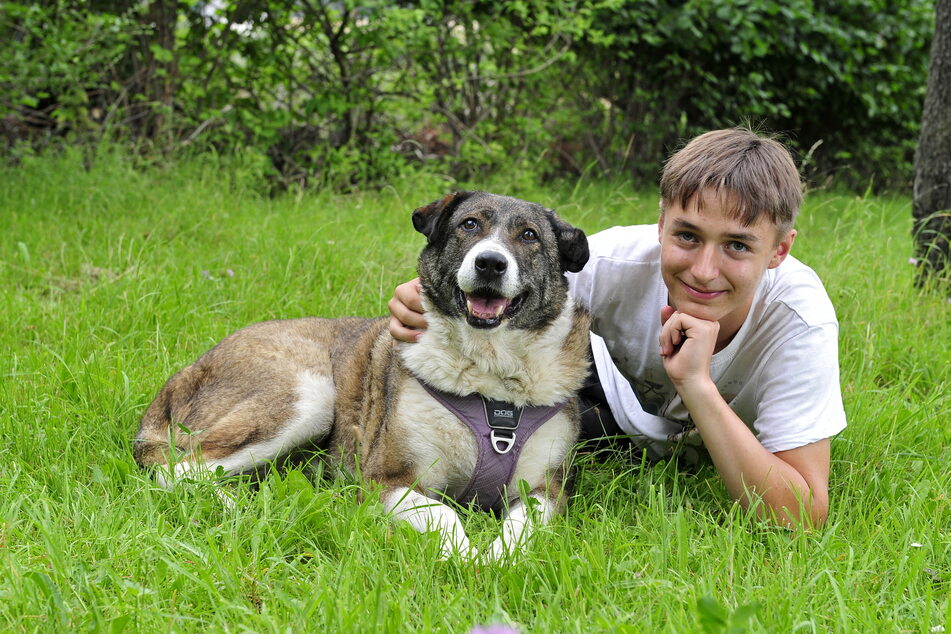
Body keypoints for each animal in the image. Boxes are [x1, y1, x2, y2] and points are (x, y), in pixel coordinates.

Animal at [130, 189, 592, 556]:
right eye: (469, 224)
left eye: (529, 235)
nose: (490, 263)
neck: (489, 373)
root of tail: (189, 370)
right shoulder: (388, 479)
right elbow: (443, 513)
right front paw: (468, 557)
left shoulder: (545, 490)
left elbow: (522, 527)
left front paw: (500, 558)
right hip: (308, 398)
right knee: (179, 468)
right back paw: (238, 508)